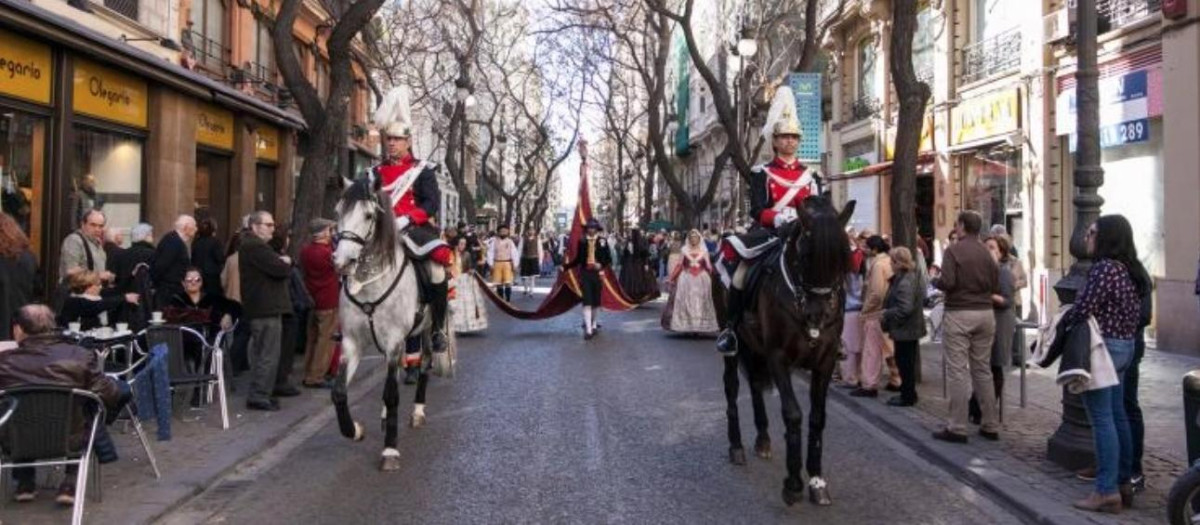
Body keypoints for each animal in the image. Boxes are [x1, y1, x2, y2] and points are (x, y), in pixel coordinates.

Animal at [331, 176, 434, 472]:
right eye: (337, 212)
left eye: (368, 215)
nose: (342, 262)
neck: (370, 285)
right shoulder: (352, 343)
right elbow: (339, 392)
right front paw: (354, 430)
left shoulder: (394, 341)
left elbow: (391, 393)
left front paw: (390, 449)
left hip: (428, 329)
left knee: (425, 362)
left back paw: (417, 411)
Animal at [720, 195, 854, 505]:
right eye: (804, 255)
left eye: (843, 257)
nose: (817, 315)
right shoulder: (778, 357)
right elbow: (793, 413)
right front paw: (793, 483)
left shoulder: (825, 360)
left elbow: (817, 417)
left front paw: (816, 481)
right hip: (734, 342)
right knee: (732, 386)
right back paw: (736, 446)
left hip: (755, 347)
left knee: (755, 385)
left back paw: (763, 439)